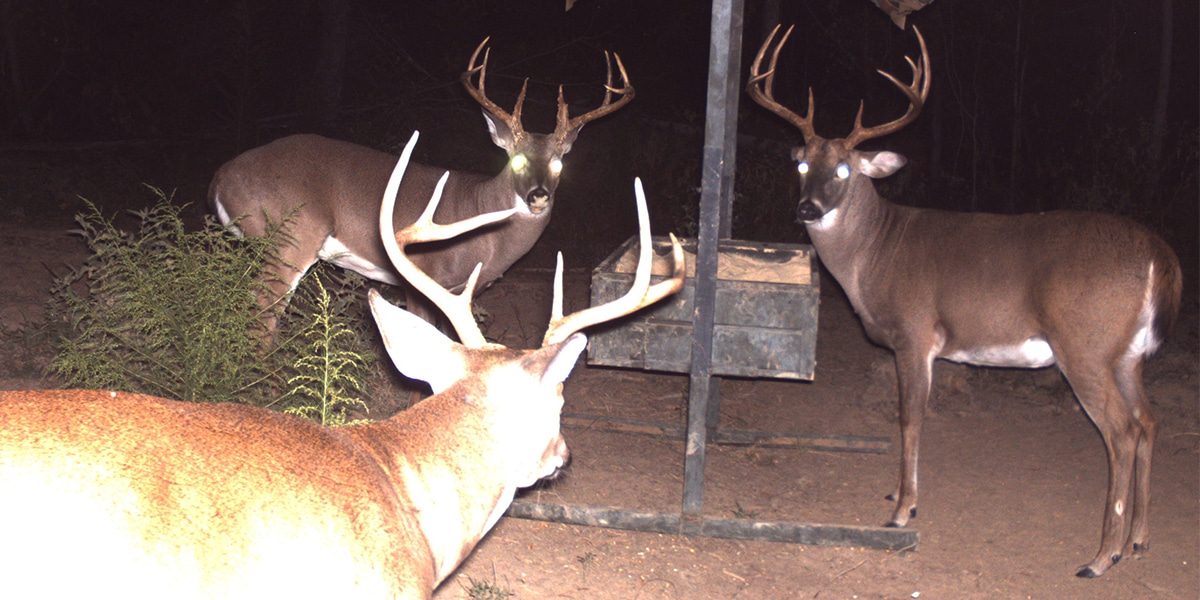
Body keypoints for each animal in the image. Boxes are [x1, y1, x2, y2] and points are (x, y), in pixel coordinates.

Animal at [210, 38, 633, 333]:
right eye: (517, 159)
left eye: (559, 162)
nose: (538, 196)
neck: (487, 235)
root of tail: (219, 180)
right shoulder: (422, 276)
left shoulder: (463, 292)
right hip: (290, 237)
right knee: (261, 318)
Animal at [748, 25, 1180, 578]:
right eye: (803, 163)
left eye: (844, 170)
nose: (807, 208)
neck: (872, 254)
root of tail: (1159, 256)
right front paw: (897, 495)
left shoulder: (913, 332)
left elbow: (910, 417)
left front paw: (903, 509)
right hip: (1126, 354)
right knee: (1149, 420)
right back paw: (1140, 539)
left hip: (1084, 345)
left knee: (1122, 432)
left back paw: (1103, 556)